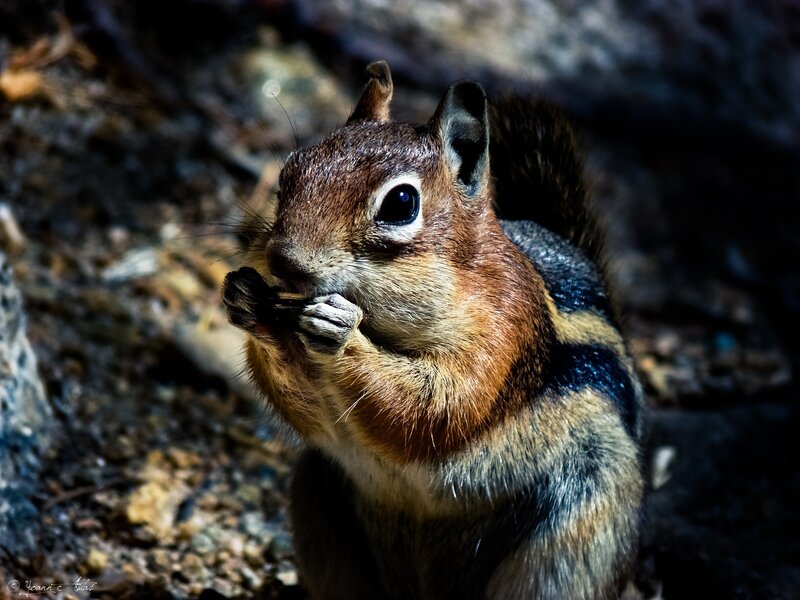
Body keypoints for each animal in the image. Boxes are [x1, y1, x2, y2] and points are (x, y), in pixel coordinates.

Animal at [223, 61, 644, 600]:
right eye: (289, 171)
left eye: (401, 203)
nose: (282, 261)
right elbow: (308, 412)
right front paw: (245, 299)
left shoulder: (503, 331)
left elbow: (439, 406)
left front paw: (340, 331)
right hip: (319, 500)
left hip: (573, 541)